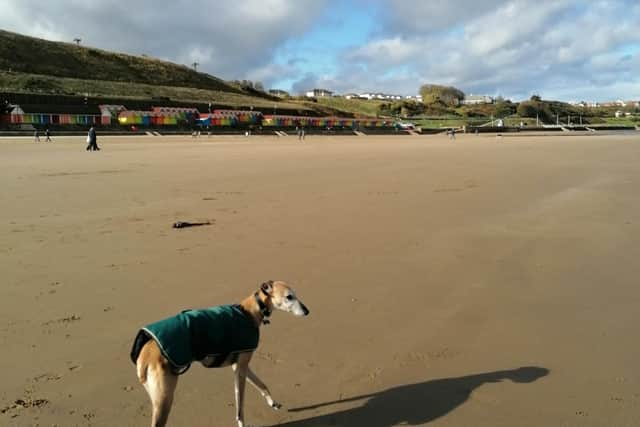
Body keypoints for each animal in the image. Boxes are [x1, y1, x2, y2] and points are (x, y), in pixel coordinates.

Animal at [129, 280, 308, 427]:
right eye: (289, 296)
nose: (307, 311)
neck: (249, 312)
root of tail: (146, 353)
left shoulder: (241, 365)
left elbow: (261, 384)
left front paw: (272, 402)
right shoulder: (240, 369)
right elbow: (240, 405)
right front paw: (242, 422)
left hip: (157, 397)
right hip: (164, 399)